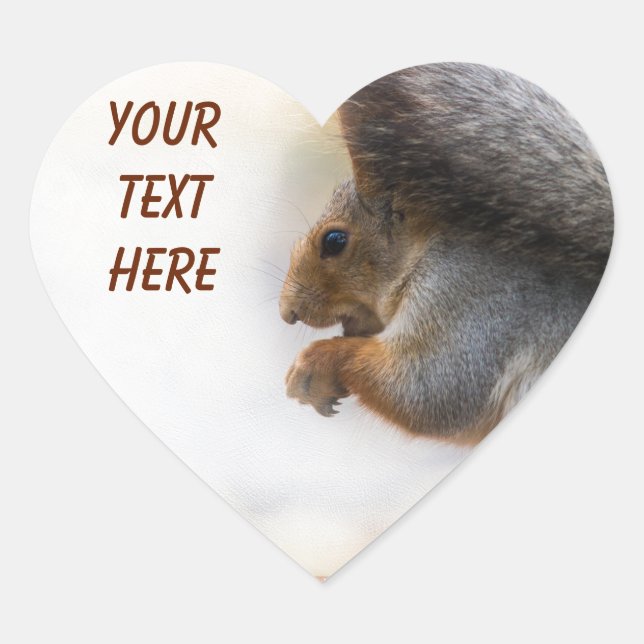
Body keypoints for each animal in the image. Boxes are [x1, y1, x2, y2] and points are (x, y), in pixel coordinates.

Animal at [279, 63, 613, 445]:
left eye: (334, 241)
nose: (288, 313)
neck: (428, 251)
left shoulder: (470, 302)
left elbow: (427, 389)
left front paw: (314, 364)